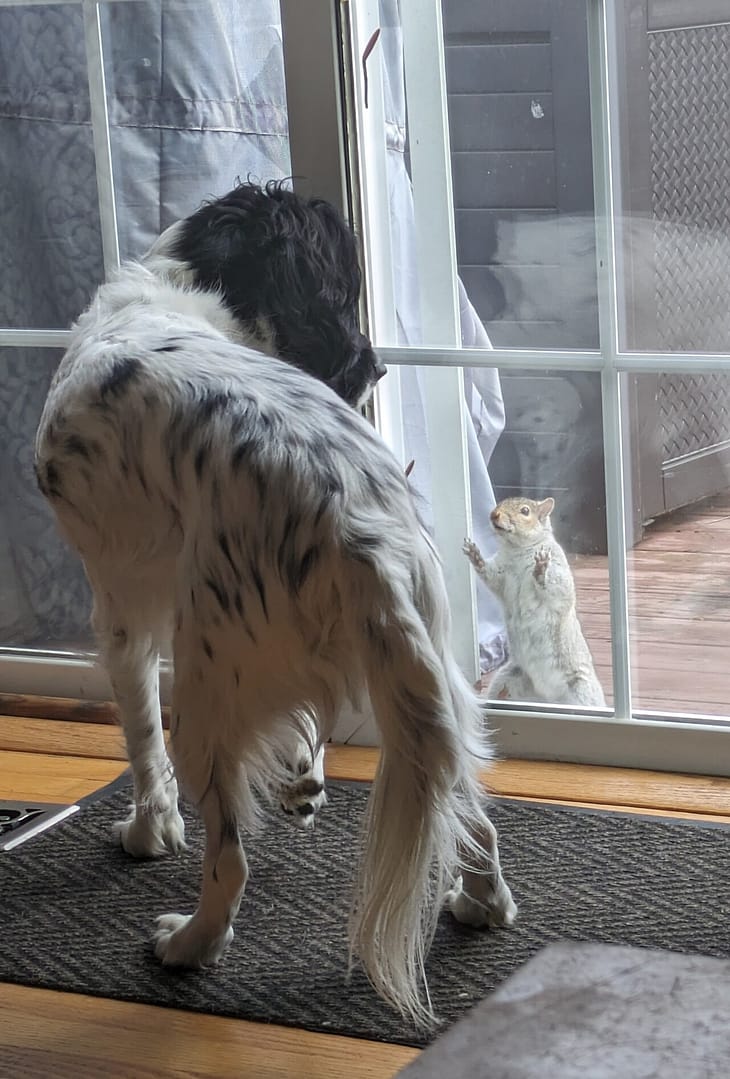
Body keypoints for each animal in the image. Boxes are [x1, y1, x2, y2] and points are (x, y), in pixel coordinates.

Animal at [463, 496, 605, 707]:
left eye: (525, 511)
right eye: (500, 503)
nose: (493, 515)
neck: (518, 550)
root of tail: (548, 699)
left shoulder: (558, 567)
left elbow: (559, 588)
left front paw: (540, 571)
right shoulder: (500, 573)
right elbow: (490, 576)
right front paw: (475, 555)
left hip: (582, 691)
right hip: (507, 678)